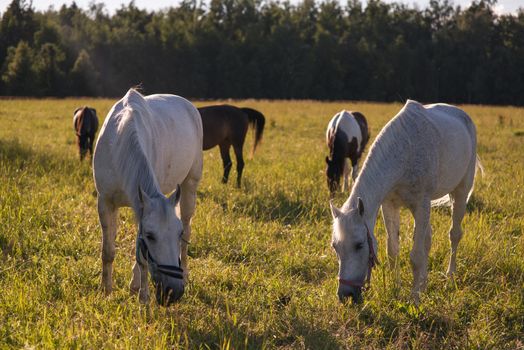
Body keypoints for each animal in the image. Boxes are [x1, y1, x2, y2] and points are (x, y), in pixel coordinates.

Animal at [92, 88, 203, 306]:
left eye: (176, 234)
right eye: (150, 236)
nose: (173, 292)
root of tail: (189, 106)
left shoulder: (140, 208)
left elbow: (140, 257)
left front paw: (142, 296)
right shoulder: (106, 202)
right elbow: (108, 250)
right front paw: (106, 291)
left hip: (190, 186)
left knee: (188, 229)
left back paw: (184, 274)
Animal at [332, 100, 484, 302]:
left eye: (359, 245)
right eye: (335, 247)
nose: (345, 295)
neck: (404, 152)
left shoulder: (421, 204)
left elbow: (416, 256)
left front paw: (414, 298)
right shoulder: (390, 205)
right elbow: (393, 251)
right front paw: (396, 288)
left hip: (459, 193)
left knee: (454, 235)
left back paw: (449, 277)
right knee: (427, 239)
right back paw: (424, 284)